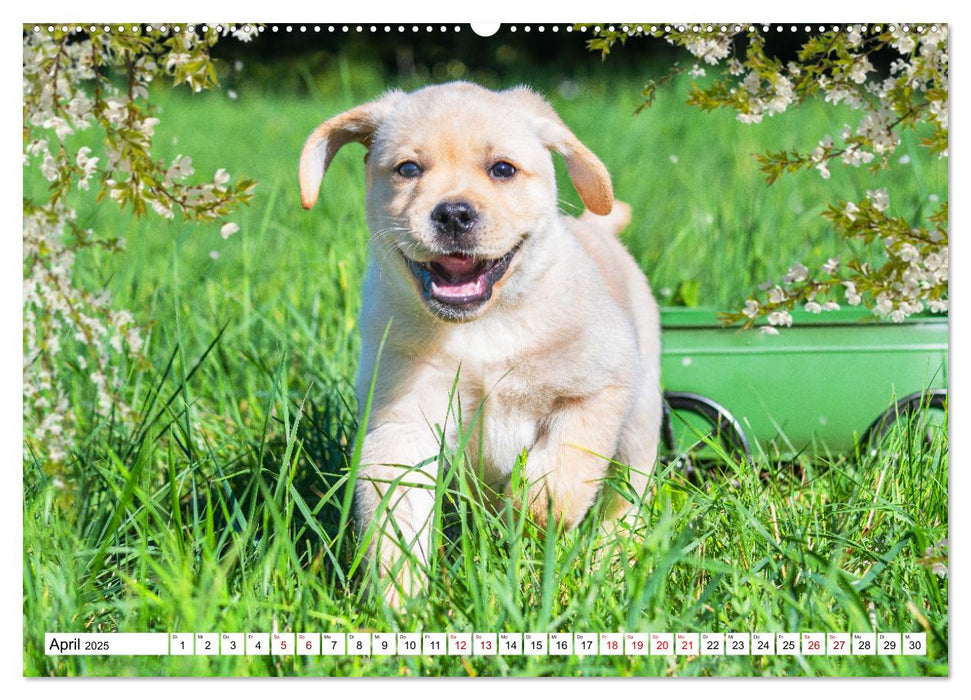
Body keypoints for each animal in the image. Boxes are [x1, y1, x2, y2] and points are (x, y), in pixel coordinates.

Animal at [298, 82, 660, 608]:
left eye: (502, 169)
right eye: (409, 169)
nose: (453, 213)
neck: (485, 329)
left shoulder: (601, 386)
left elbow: (566, 470)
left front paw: (533, 512)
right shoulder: (401, 425)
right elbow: (396, 523)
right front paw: (402, 604)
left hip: (641, 421)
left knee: (626, 498)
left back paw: (611, 561)